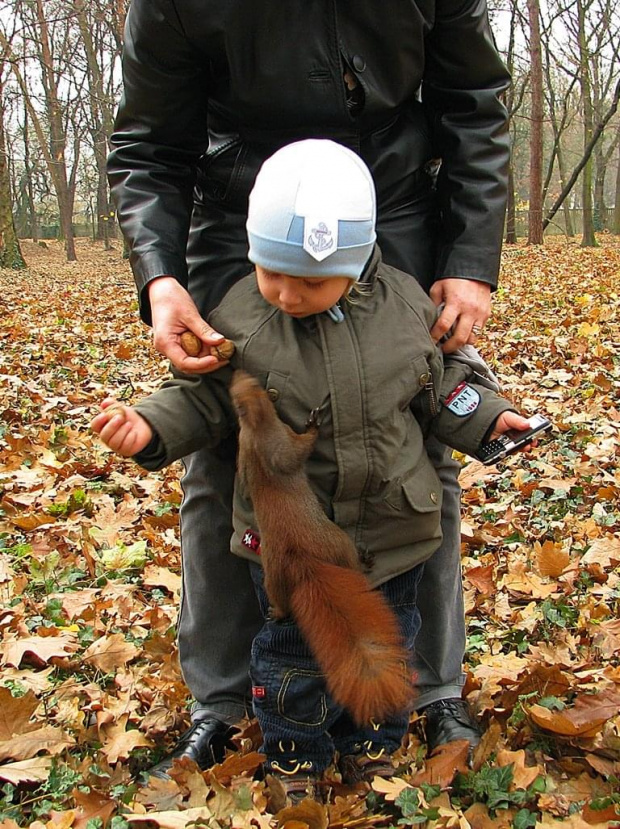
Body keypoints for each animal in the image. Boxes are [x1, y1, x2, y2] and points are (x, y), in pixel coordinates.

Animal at [228, 370, 412, 724]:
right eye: (238, 392)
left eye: (250, 384)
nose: (236, 373)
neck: (259, 426)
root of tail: (302, 560)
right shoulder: (280, 443)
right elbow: (297, 452)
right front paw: (314, 423)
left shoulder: (247, 453)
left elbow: (245, 478)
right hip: (337, 540)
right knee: (350, 561)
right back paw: (364, 561)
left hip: (273, 575)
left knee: (281, 600)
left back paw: (276, 611)